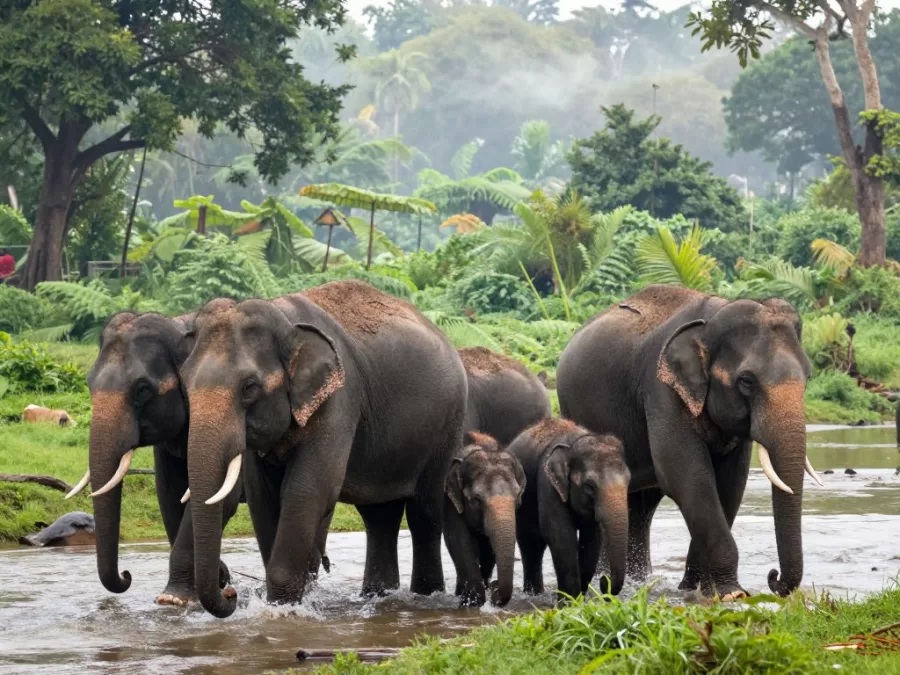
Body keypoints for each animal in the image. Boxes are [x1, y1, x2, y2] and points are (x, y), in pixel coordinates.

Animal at [74, 311, 240, 606]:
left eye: (142, 389)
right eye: (88, 382)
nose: (127, 575)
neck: (181, 325)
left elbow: (221, 496)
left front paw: (173, 599)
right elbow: (169, 496)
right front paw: (212, 582)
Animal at [180, 280, 467, 618]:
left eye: (249, 387)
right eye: (184, 382)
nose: (230, 591)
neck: (285, 318)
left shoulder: (339, 399)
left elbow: (309, 488)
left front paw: (284, 610)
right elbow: (262, 494)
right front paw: (286, 602)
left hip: (447, 424)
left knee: (425, 511)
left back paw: (424, 596)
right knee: (379, 517)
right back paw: (377, 597)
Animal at [443, 432, 525, 607]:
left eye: (517, 497)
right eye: (476, 500)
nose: (496, 587)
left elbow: (489, 552)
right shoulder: (453, 505)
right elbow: (461, 542)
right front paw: (471, 603)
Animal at [509, 418, 630, 603]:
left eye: (629, 481)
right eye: (589, 487)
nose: (604, 580)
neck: (573, 443)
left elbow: (592, 539)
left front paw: (580, 598)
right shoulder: (547, 482)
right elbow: (560, 534)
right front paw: (568, 602)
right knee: (530, 546)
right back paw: (534, 595)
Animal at [557, 285, 820, 599]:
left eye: (808, 376)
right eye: (746, 381)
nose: (773, 576)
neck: (712, 318)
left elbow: (730, 485)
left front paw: (696, 588)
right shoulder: (662, 392)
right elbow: (688, 478)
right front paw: (731, 593)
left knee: (640, 504)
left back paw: (637, 581)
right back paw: (608, 583)